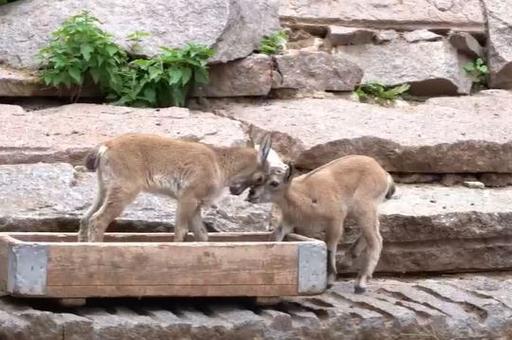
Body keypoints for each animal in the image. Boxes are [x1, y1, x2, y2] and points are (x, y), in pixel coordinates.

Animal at [79, 132, 272, 242]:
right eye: (261, 177)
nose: (240, 193)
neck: (219, 164)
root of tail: (105, 147)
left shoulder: (196, 205)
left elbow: (202, 234)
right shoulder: (188, 197)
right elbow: (181, 231)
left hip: (104, 188)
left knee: (85, 218)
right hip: (124, 190)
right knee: (98, 220)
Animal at [246, 155, 394, 294]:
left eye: (274, 183)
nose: (251, 193)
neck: (301, 196)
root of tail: (384, 174)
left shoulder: (335, 220)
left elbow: (330, 246)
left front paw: (329, 281)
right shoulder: (288, 220)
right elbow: (275, 236)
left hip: (364, 207)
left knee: (376, 240)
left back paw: (361, 283)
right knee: (374, 230)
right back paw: (347, 260)